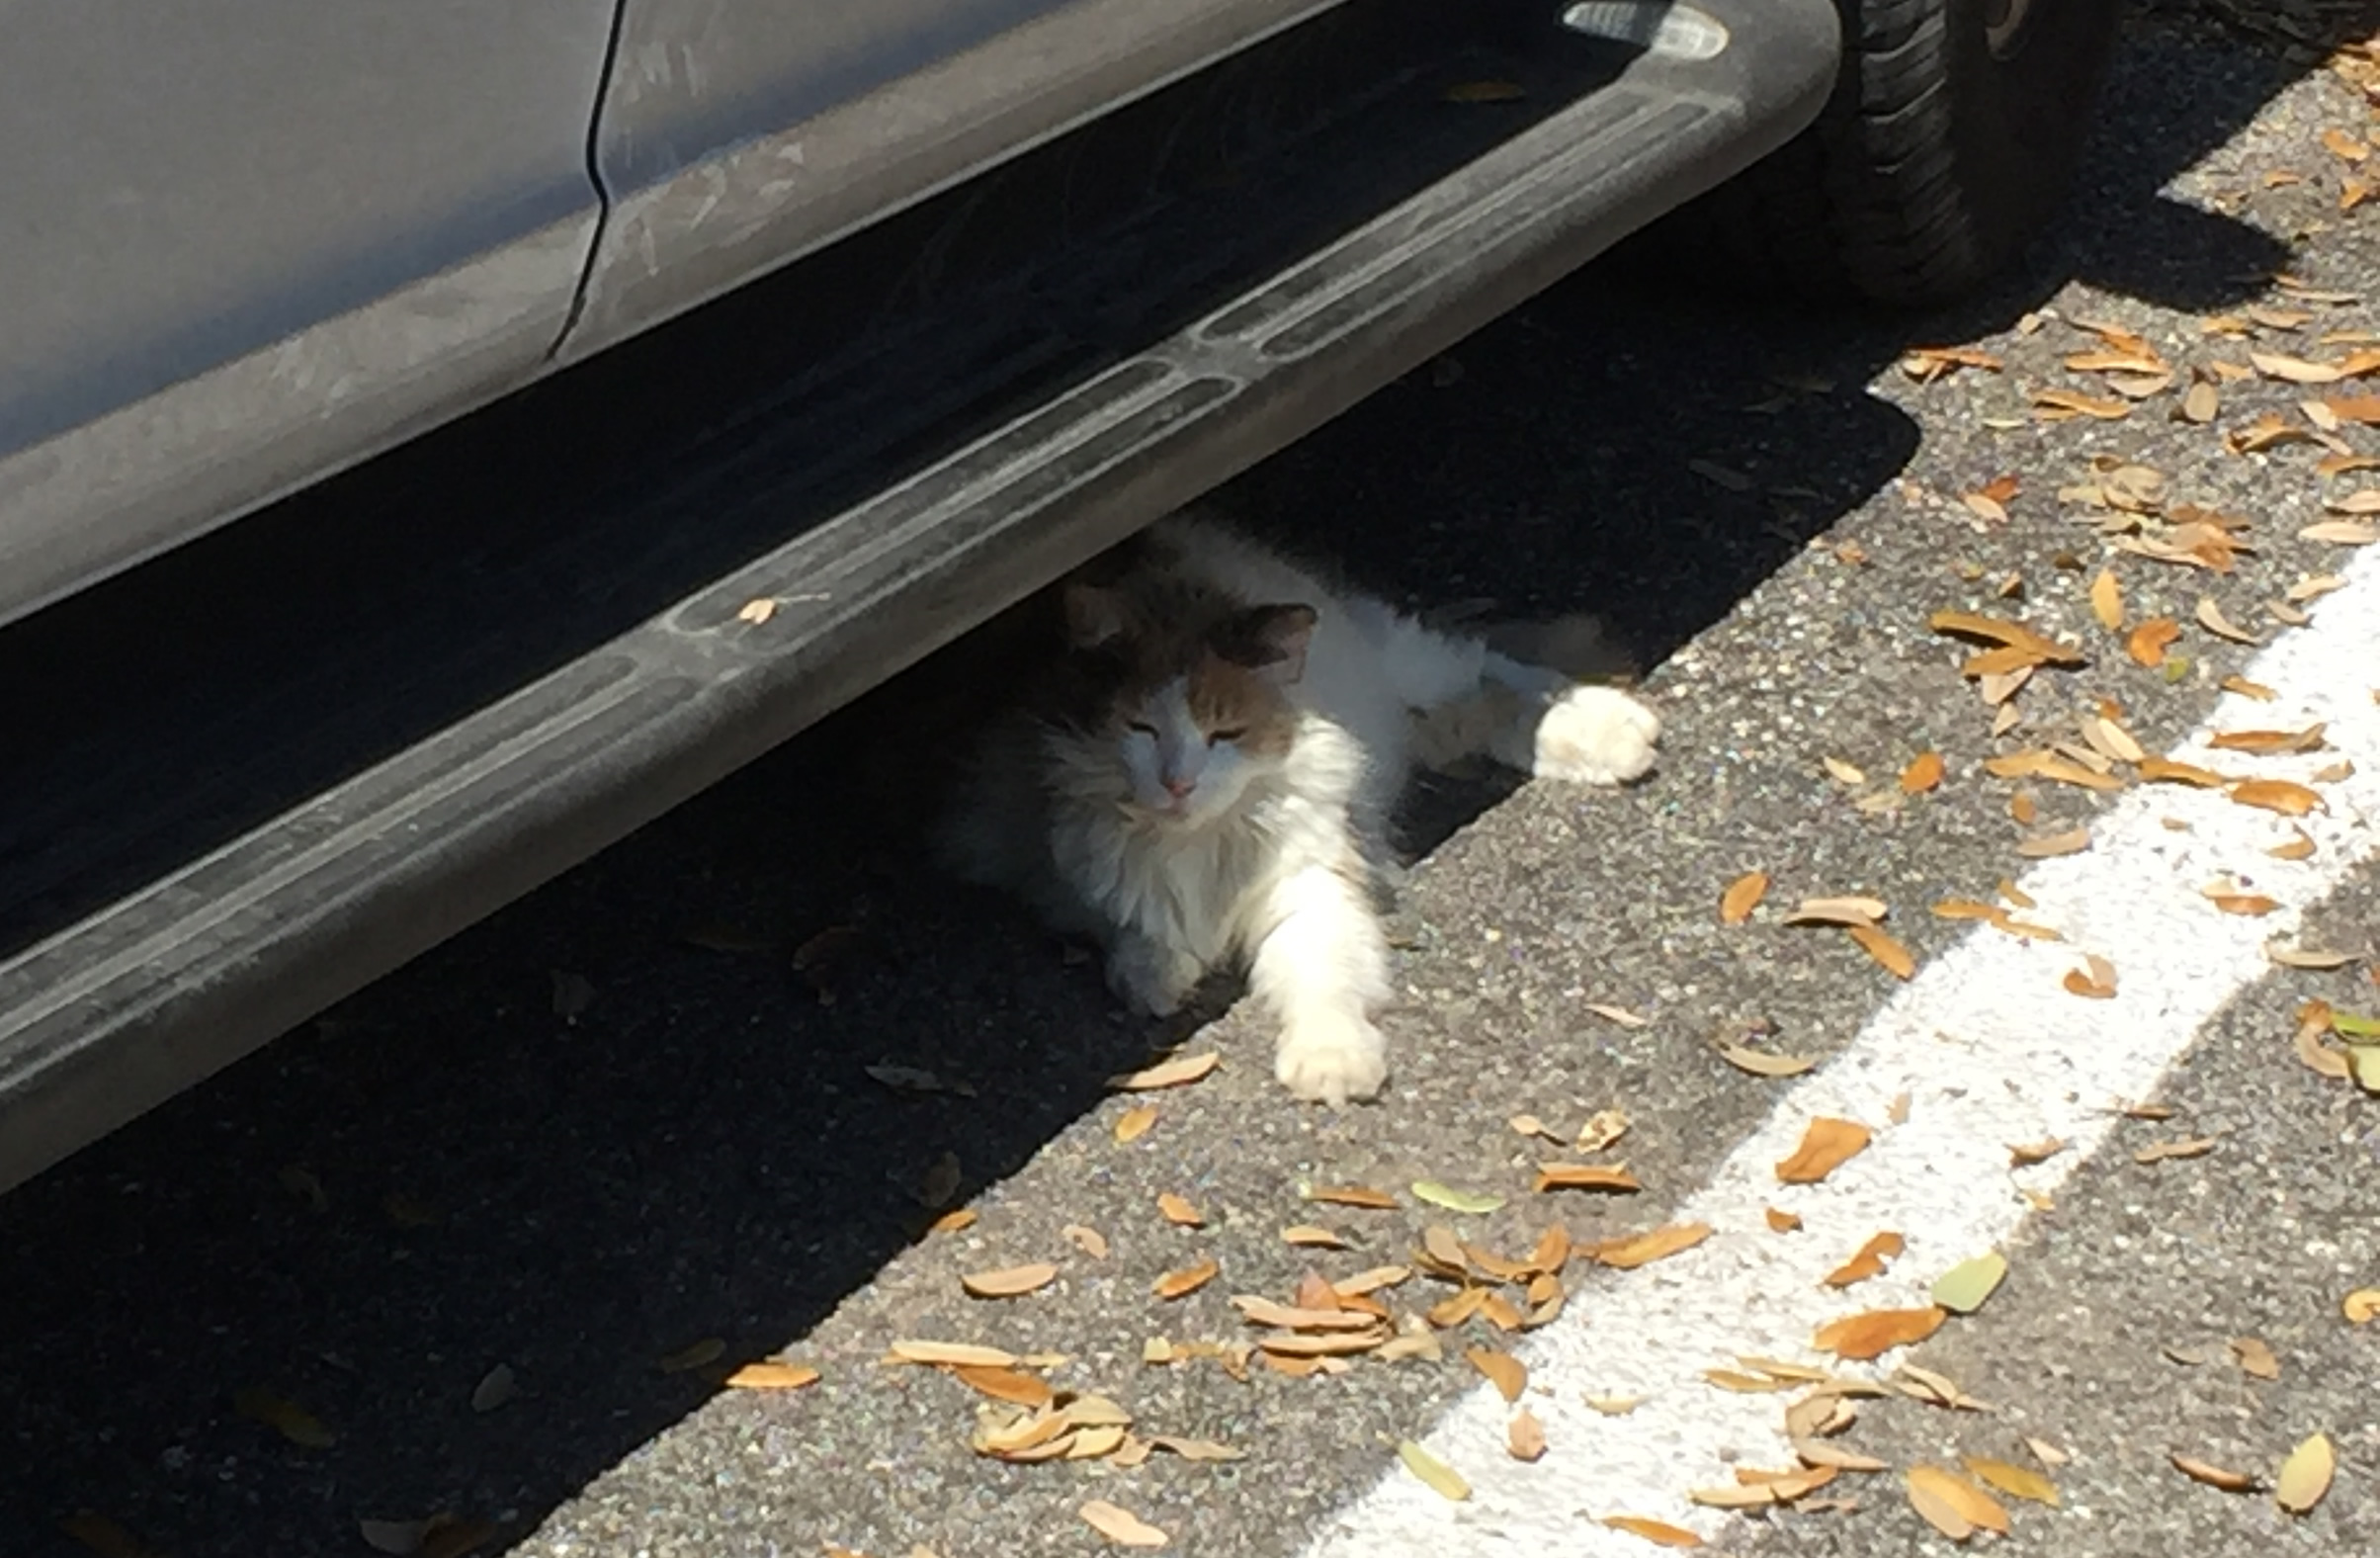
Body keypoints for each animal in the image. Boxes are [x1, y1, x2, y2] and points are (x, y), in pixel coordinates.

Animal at [937, 515, 1660, 1106]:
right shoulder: (1041, 859)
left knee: (1494, 674)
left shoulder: (1312, 888)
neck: (1198, 841)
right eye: (1140, 728)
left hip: (1407, 666)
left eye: (1224, 735)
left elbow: (1324, 980)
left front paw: (1333, 1067)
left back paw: (1619, 732)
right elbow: (1127, 921)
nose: (1178, 782)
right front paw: (1160, 975)